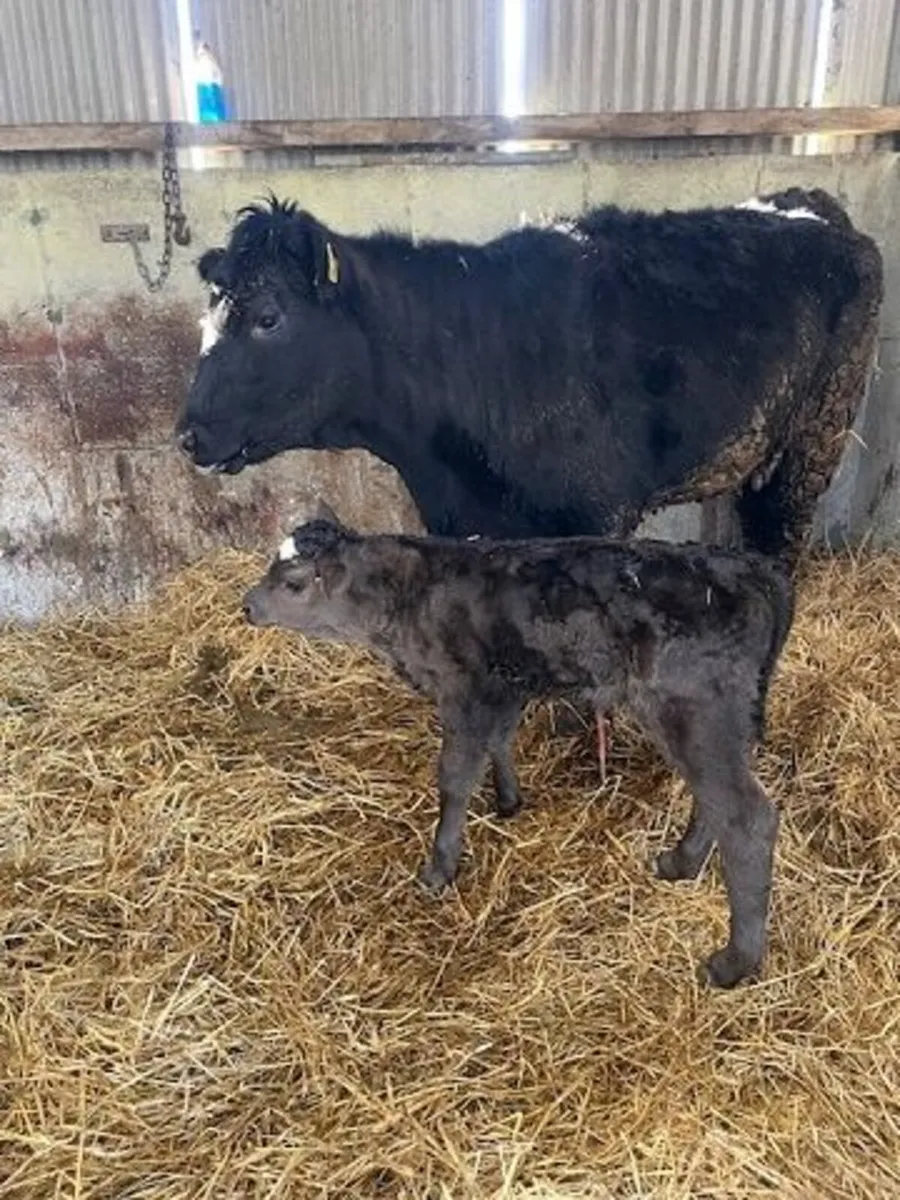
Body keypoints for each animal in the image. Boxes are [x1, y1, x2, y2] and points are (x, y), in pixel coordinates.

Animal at [177, 188, 882, 563]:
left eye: (268, 317)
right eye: (206, 314)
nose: (187, 434)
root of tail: (813, 205)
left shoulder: (598, 515)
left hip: (815, 443)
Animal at [242, 509, 795, 987]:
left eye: (293, 583)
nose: (246, 605)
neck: (410, 595)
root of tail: (746, 567)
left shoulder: (465, 691)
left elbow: (455, 777)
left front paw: (439, 868)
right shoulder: (505, 688)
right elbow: (499, 742)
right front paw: (508, 800)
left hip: (693, 713)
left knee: (746, 818)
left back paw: (733, 963)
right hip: (718, 723)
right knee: (717, 803)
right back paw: (680, 863)